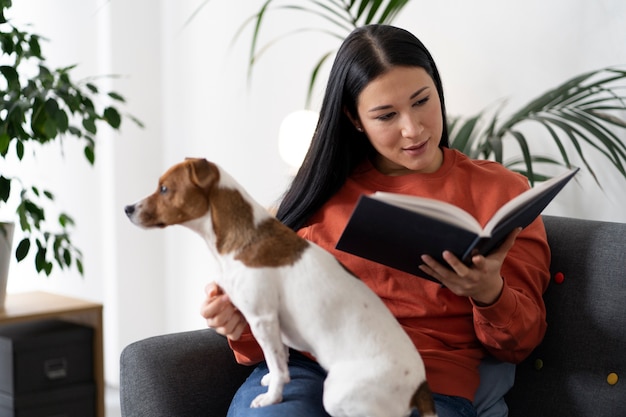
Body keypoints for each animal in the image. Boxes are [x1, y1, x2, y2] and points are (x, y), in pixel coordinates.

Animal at [124, 158, 436, 414]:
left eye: (164, 189)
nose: (127, 208)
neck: (243, 236)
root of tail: (420, 388)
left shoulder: (262, 319)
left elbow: (275, 361)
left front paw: (272, 396)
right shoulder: (273, 323)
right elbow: (280, 358)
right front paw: (272, 378)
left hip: (340, 396)